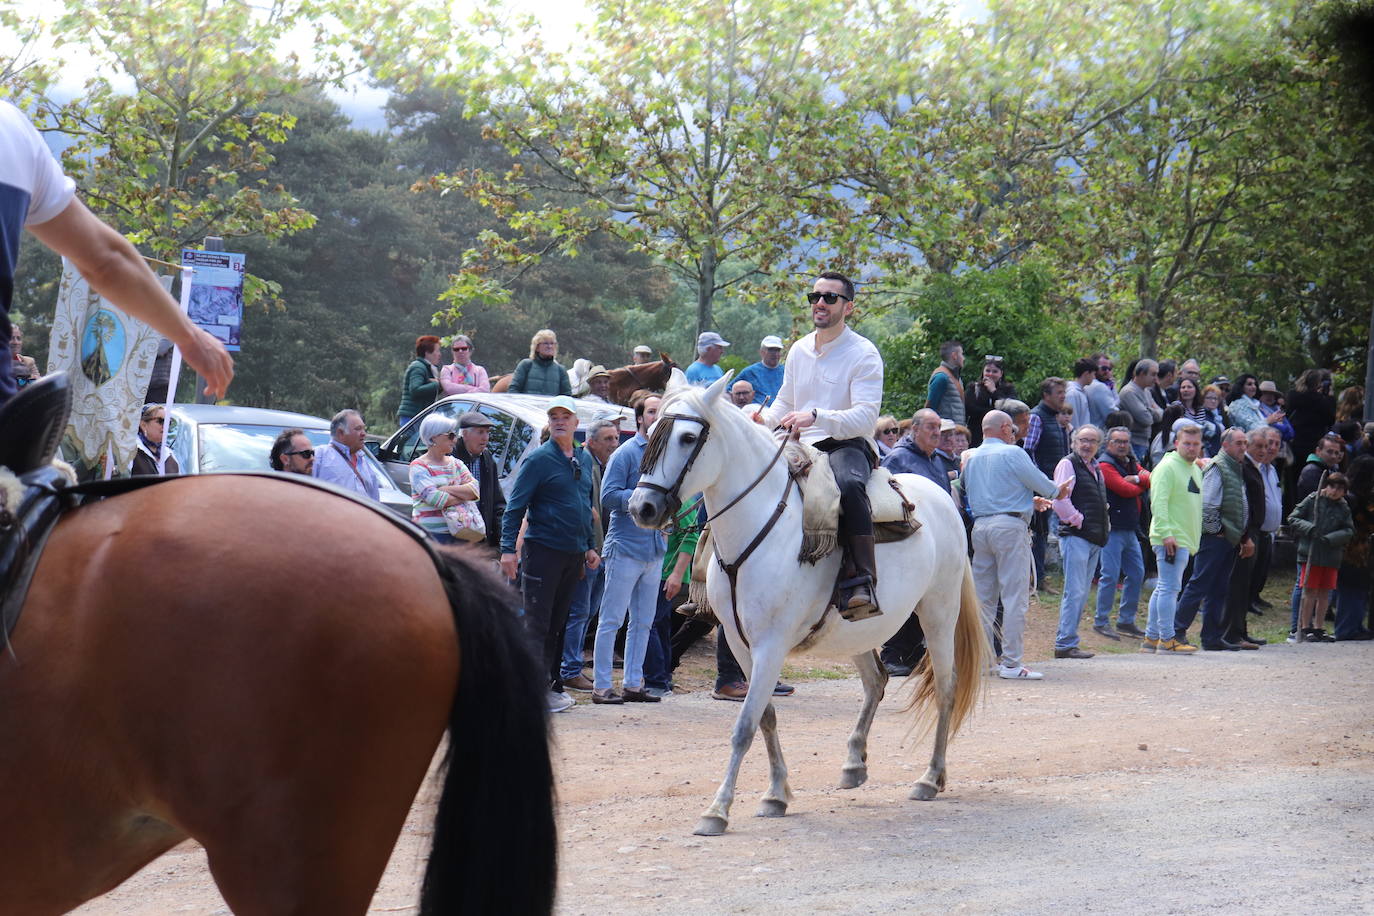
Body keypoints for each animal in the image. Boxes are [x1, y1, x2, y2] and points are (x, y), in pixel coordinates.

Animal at [632, 373, 989, 840]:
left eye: (688, 437)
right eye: (653, 429)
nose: (641, 508)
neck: (761, 525)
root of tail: (943, 497)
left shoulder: (770, 644)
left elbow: (744, 726)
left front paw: (717, 810)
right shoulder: (742, 644)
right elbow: (765, 717)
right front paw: (775, 795)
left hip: (938, 613)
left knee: (945, 687)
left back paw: (930, 778)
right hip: (860, 629)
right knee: (876, 681)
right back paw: (854, 764)